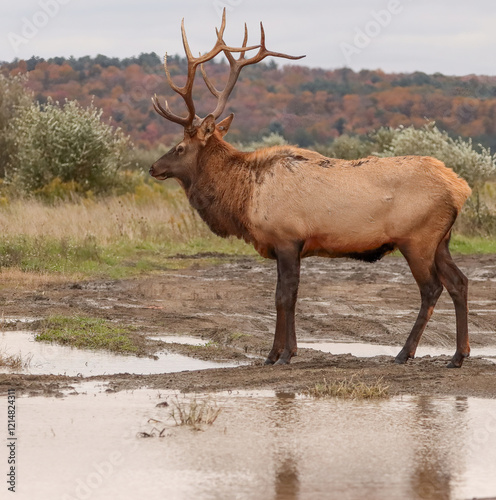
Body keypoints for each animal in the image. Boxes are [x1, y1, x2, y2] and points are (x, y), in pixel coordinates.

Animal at [148, 10, 472, 368]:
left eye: (179, 147)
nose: (153, 167)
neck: (244, 198)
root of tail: (461, 188)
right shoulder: (289, 244)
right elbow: (289, 295)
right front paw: (283, 352)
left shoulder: (287, 237)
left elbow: (283, 296)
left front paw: (279, 354)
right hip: (441, 239)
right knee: (459, 282)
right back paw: (458, 355)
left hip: (417, 237)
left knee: (431, 288)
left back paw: (404, 353)